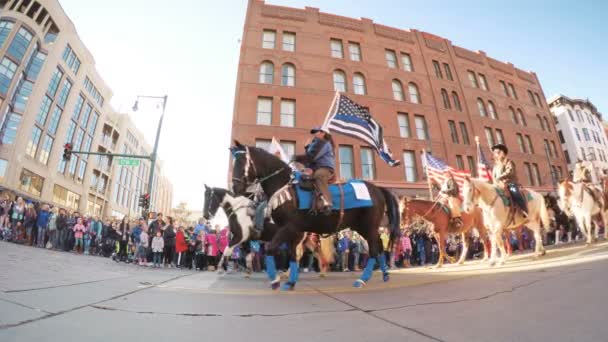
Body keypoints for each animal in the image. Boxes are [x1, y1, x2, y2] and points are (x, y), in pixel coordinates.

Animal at [204, 186, 338, 276]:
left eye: (209, 198)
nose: (206, 216)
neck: (239, 211)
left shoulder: (239, 237)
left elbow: (227, 250)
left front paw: (220, 268)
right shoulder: (246, 239)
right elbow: (247, 255)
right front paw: (248, 271)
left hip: (298, 240)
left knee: (299, 254)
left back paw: (288, 273)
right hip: (306, 240)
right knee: (316, 251)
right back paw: (322, 271)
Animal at [228, 140, 400, 290]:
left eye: (242, 161)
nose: (236, 188)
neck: (284, 188)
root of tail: (377, 189)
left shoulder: (288, 228)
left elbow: (271, 250)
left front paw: (275, 281)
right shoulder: (293, 232)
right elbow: (292, 256)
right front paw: (290, 282)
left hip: (369, 226)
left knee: (373, 250)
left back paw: (362, 279)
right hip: (362, 227)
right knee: (378, 247)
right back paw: (384, 274)